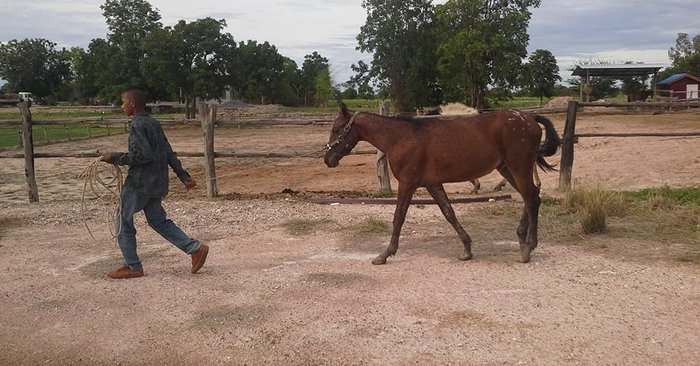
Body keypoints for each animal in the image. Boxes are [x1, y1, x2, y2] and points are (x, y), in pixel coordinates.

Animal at [326, 104, 560, 264]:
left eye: (337, 129)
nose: (328, 159)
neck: (402, 137)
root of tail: (528, 117)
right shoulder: (433, 184)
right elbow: (449, 213)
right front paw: (467, 249)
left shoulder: (408, 184)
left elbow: (398, 217)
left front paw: (385, 254)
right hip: (506, 168)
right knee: (531, 196)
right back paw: (523, 240)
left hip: (518, 166)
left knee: (531, 197)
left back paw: (528, 247)